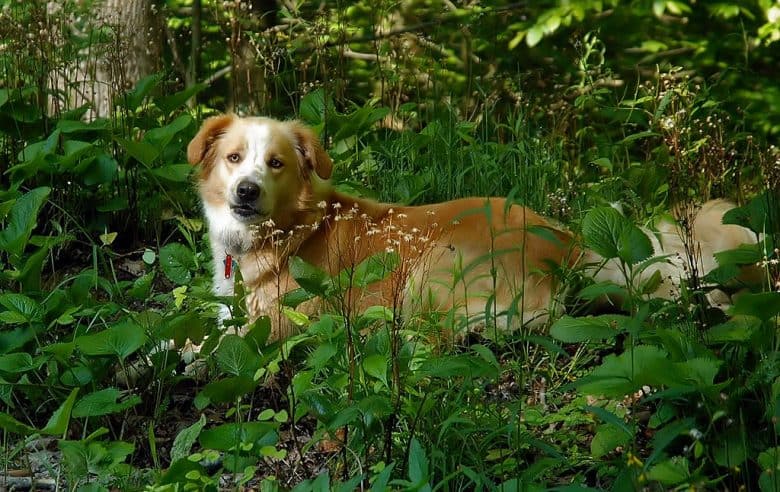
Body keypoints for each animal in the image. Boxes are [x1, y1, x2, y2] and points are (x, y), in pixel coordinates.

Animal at [186, 113, 760, 340]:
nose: (246, 191)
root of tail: (566, 241)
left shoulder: (277, 325)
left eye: (276, 163)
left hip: (430, 270)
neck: (287, 228)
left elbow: (198, 350)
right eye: (234, 158)